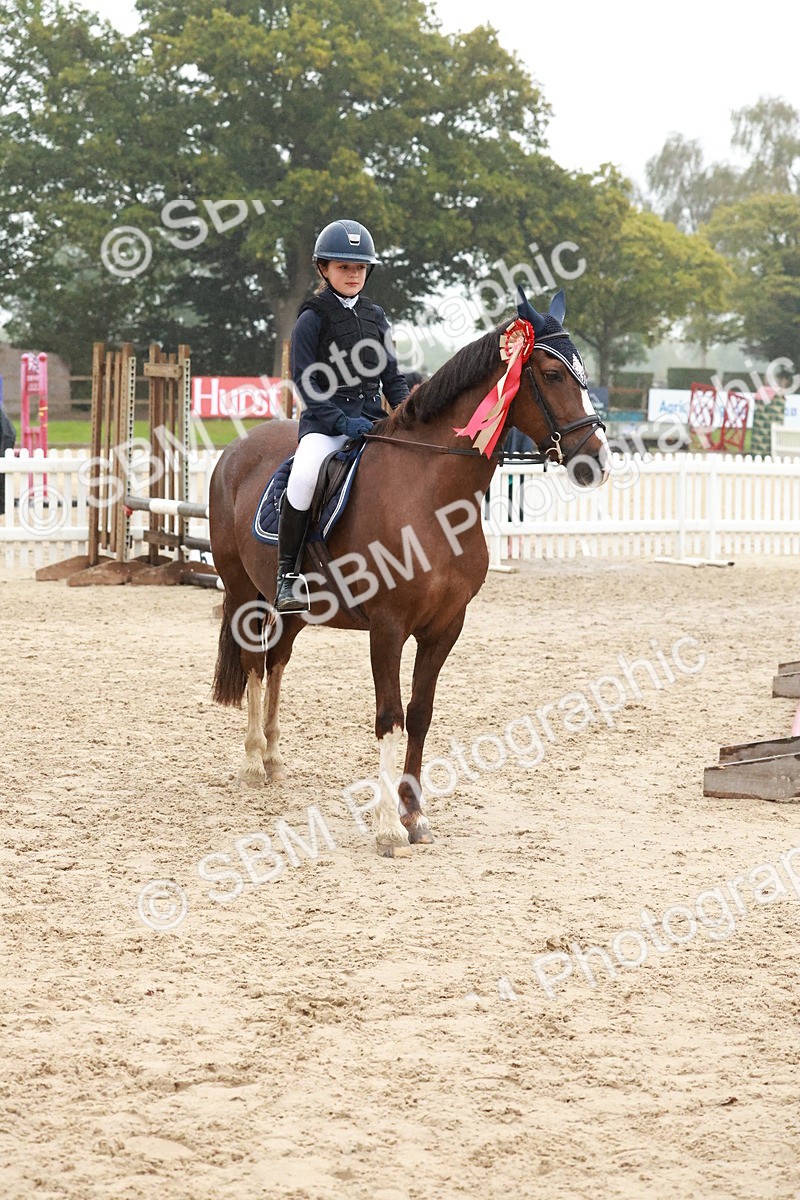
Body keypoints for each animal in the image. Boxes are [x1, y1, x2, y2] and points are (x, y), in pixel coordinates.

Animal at [208, 289, 610, 855]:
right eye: (553, 375)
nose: (597, 460)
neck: (432, 492)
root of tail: (237, 449)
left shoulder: (445, 626)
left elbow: (420, 714)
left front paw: (414, 814)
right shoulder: (388, 626)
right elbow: (389, 716)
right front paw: (385, 828)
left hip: (295, 608)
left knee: (276, 661)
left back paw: (272, 759)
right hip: (245, 592)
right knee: (251, 664)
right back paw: (249, 764)